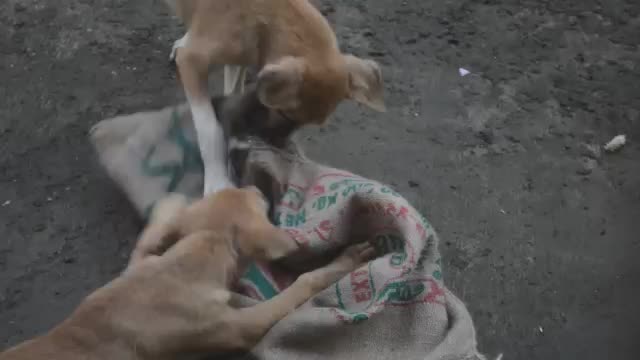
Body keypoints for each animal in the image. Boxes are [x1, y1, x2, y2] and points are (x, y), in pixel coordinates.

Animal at [0, 187, 376, 358]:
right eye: (253, 200)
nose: (256, 188)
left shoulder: (142, 260)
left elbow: (151, 235)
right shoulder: (240, 326)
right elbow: (301, 284)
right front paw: (345, 261)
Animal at [165, 0, 384, 195]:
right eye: (285, 114)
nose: (282, 152)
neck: (266, 21)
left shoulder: (239, 61)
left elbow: (233, 94)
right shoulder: (193, 61)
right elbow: (209, 129)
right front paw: (218, 180)